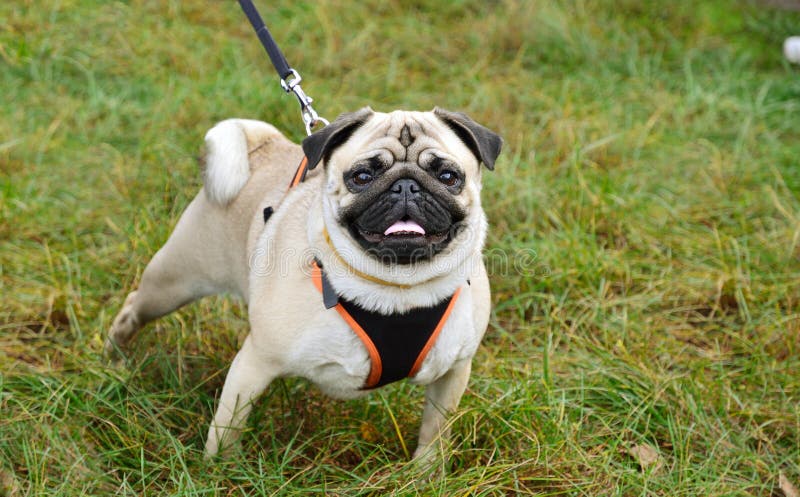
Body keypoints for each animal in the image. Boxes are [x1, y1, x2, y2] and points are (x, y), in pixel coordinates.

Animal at [106, 107, 504, 458]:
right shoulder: (254, 364)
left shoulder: (453, 372)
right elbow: (227, 428)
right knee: (133, 307)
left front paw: (425, 474)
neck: (396, 289)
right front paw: (221, 471)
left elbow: (435, 432)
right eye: (362, 177)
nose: (406, 186)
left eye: (448, 177)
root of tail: (263, 145)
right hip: (173, 282)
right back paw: (114, 359)